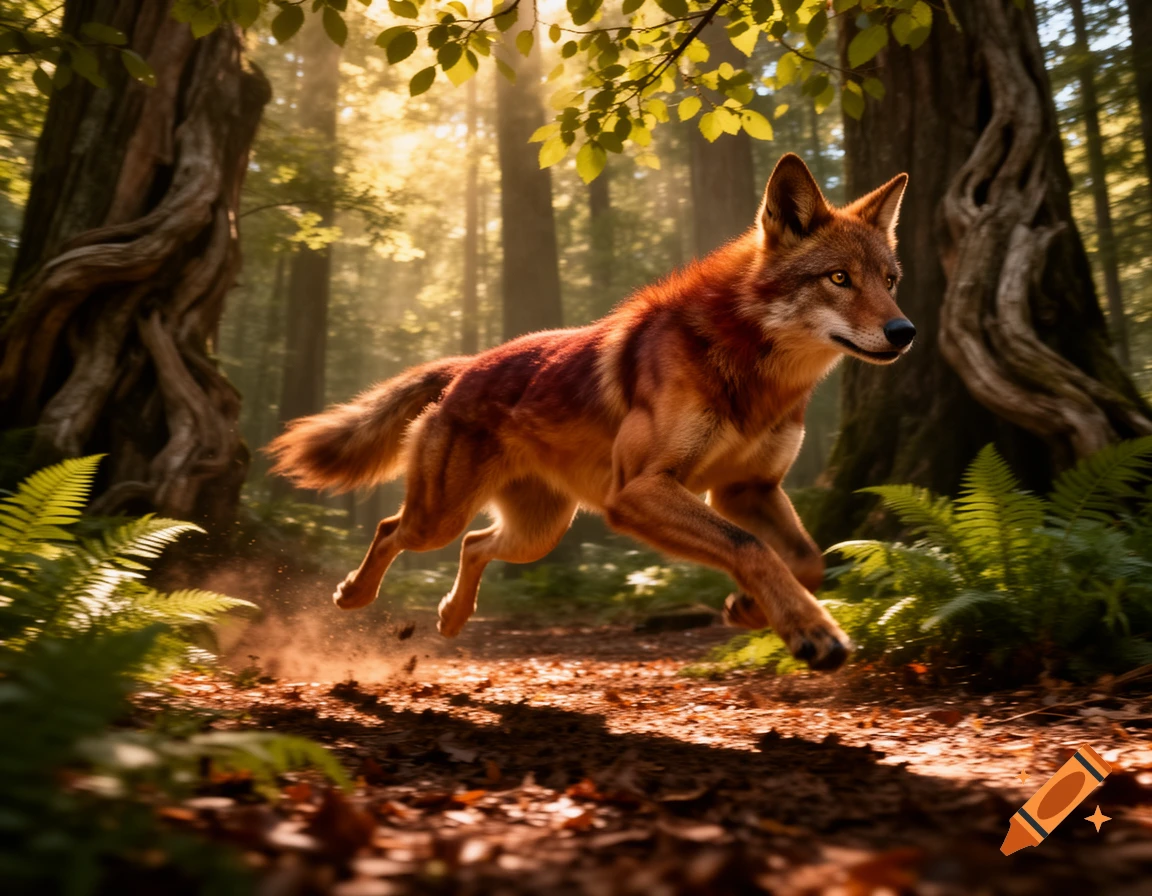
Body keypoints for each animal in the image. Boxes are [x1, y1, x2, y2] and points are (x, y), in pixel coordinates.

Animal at [268, 154, 913, 671]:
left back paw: (452, 616)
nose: (904, 331)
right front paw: (812, 631)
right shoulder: (639, 492)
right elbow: (753, 548)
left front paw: (752, 608)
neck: (755, 372)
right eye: (838, 278)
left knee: (475, 544)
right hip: (443, 519)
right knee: (391, 528)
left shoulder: (745, 490)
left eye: (889, 280)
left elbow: (805, 559)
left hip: (538, 534)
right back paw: (354, 595)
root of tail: (467, 365)